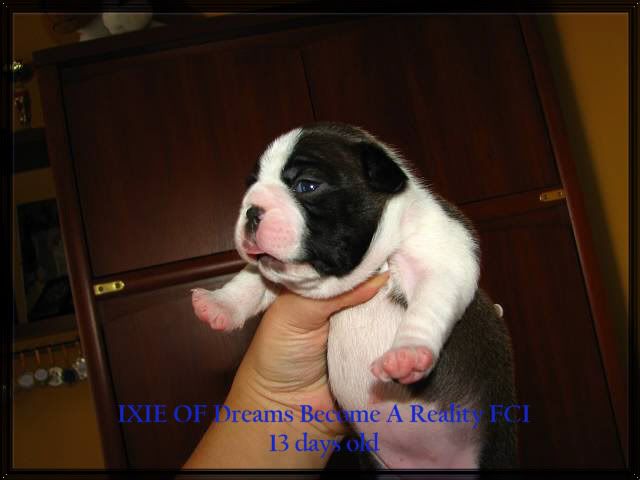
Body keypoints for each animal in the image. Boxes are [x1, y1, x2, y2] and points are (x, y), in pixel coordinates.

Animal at [192, 122, 517, 469]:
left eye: (307, 185)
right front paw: (218, 305)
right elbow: (251, 279)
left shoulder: (443, 260)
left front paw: (407, 353)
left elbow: (427, 308)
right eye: (251, 185)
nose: (252, 211)